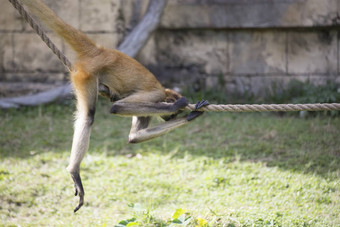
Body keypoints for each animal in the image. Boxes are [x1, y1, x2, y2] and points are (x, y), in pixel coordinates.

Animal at [21, 0, 209, 213]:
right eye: (174, 113)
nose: (172, 117)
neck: (163, 90)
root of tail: (101, 51)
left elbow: (134, 137)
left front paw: (192, 116)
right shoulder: (155, 96)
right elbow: (118, 108)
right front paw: (178, 105)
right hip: (86, 74)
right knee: (88, 116)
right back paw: (74, 170)